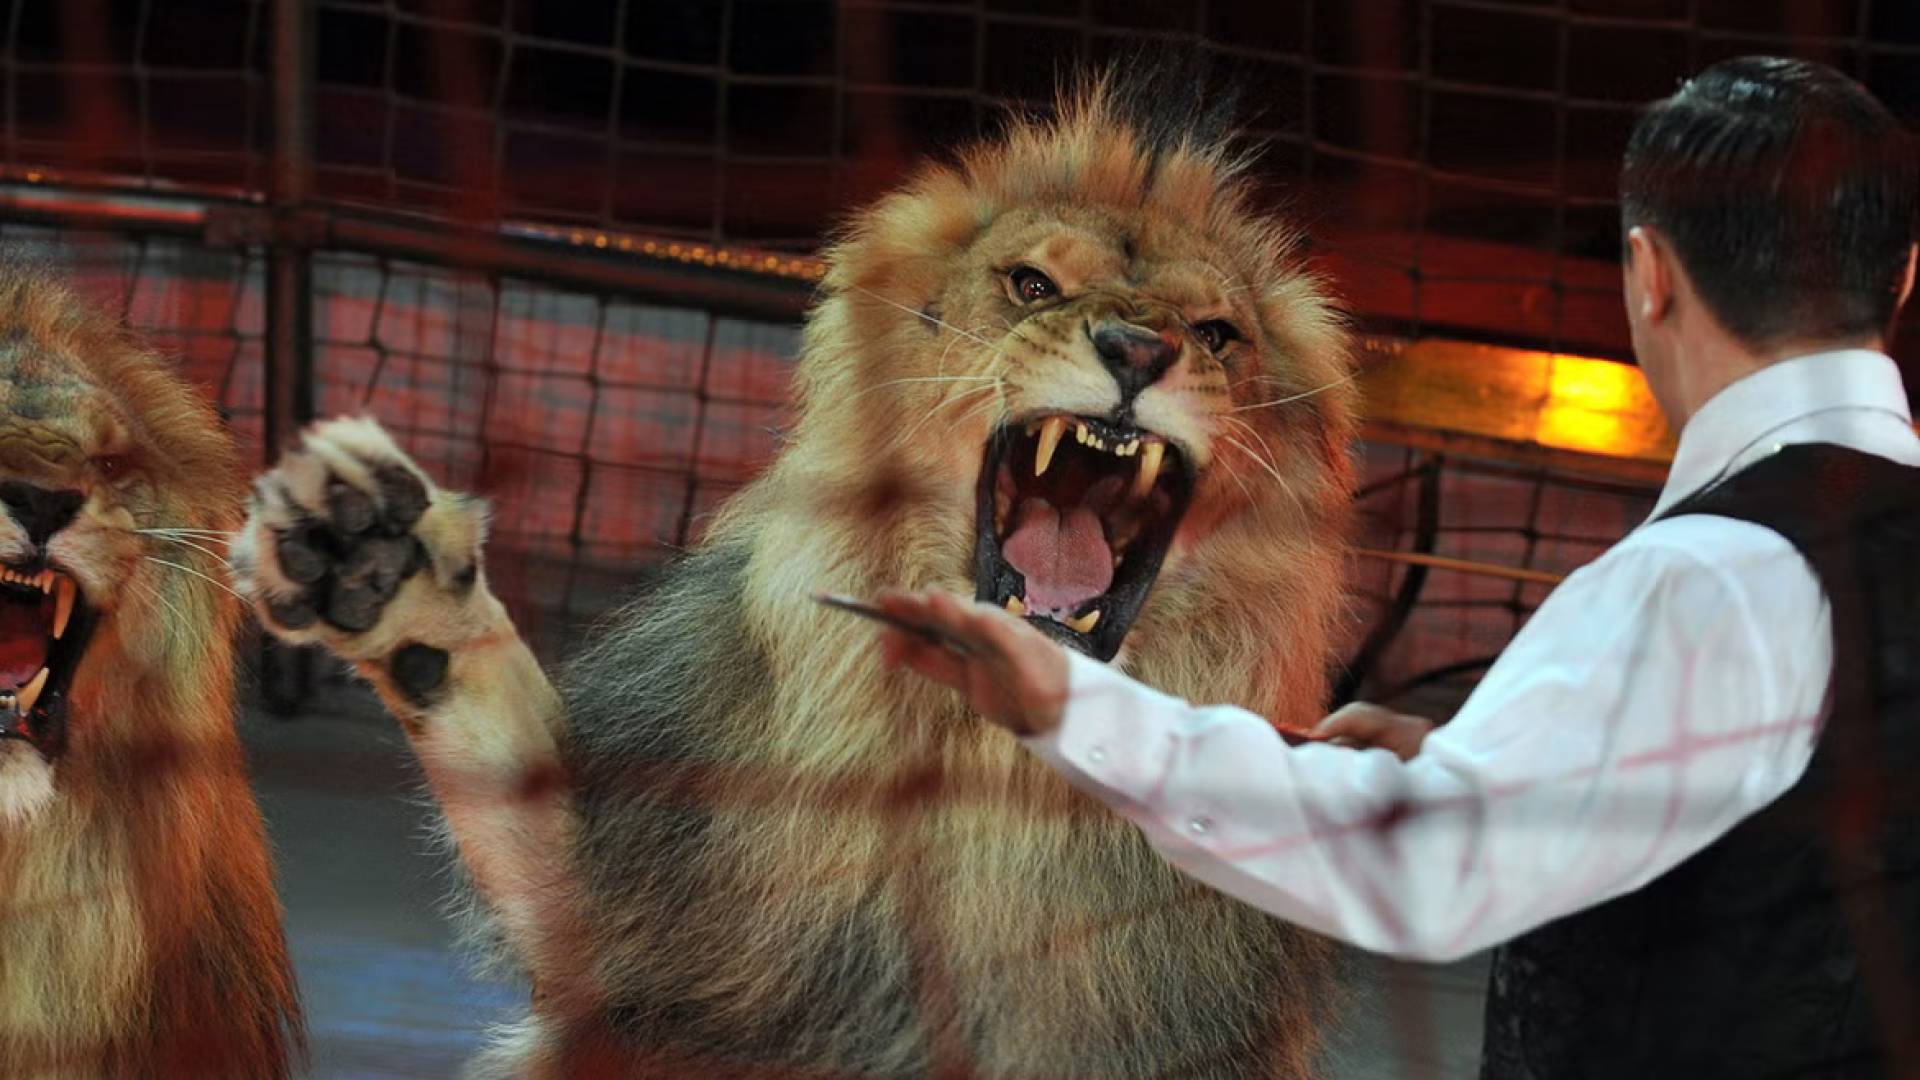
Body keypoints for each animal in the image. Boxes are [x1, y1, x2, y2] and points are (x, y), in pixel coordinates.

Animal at [234, 74, 1358, 1078]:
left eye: (1215, 334)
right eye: (1032, 286)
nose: (1136, 349)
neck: (991, 761)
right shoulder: (633, 916)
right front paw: (383, 562)